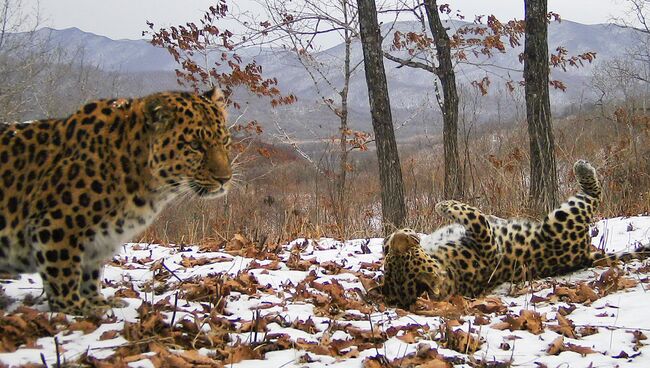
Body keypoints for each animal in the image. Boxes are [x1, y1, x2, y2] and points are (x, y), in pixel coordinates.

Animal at [0, 88, 232, 314]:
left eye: (225, 141)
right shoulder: (55, 225)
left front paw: (96, 301)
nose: (225, 179)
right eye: (195, 145)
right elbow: (63, 272)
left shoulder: (96, 242)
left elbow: (90, 273)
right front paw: (76, 306)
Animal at [380, 160, 644, 308]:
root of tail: (583, 257)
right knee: (593, 196)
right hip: (560, 220)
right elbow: (473, 215)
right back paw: (583, 168)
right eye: (410, 257)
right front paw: (443, 205)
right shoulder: (486, 243)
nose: (402, 234)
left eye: (401, 258)